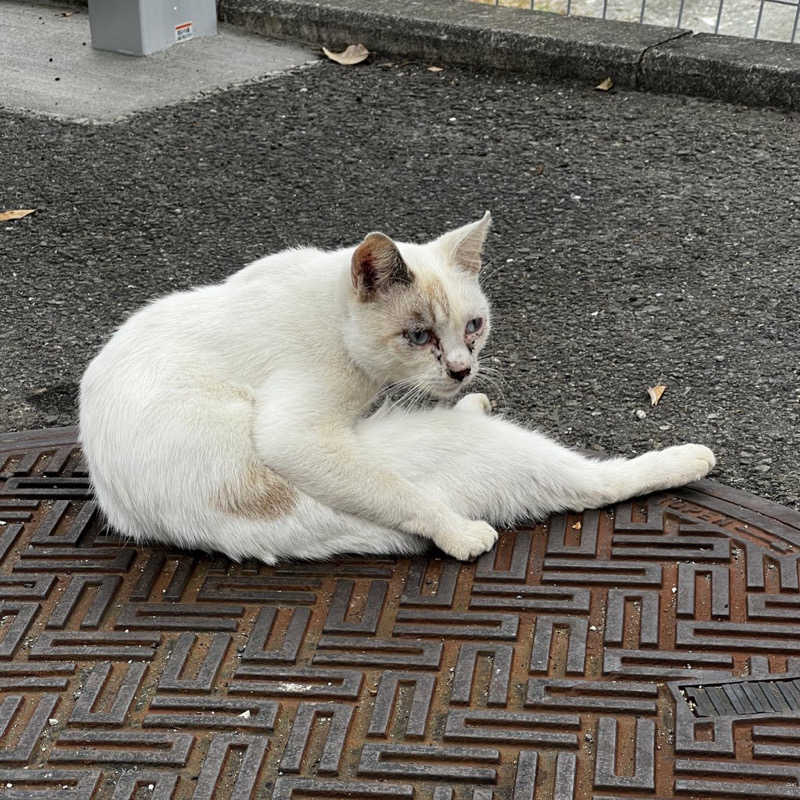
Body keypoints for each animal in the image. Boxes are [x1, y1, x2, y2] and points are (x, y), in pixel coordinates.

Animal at [81, 212, 716, 564]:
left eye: (474, 327)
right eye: (418, 335)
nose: (461, 369)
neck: (334, 315)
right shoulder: (297, 435)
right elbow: (409, 499)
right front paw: (457, 533)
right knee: (594, 484)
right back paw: (688, 458)